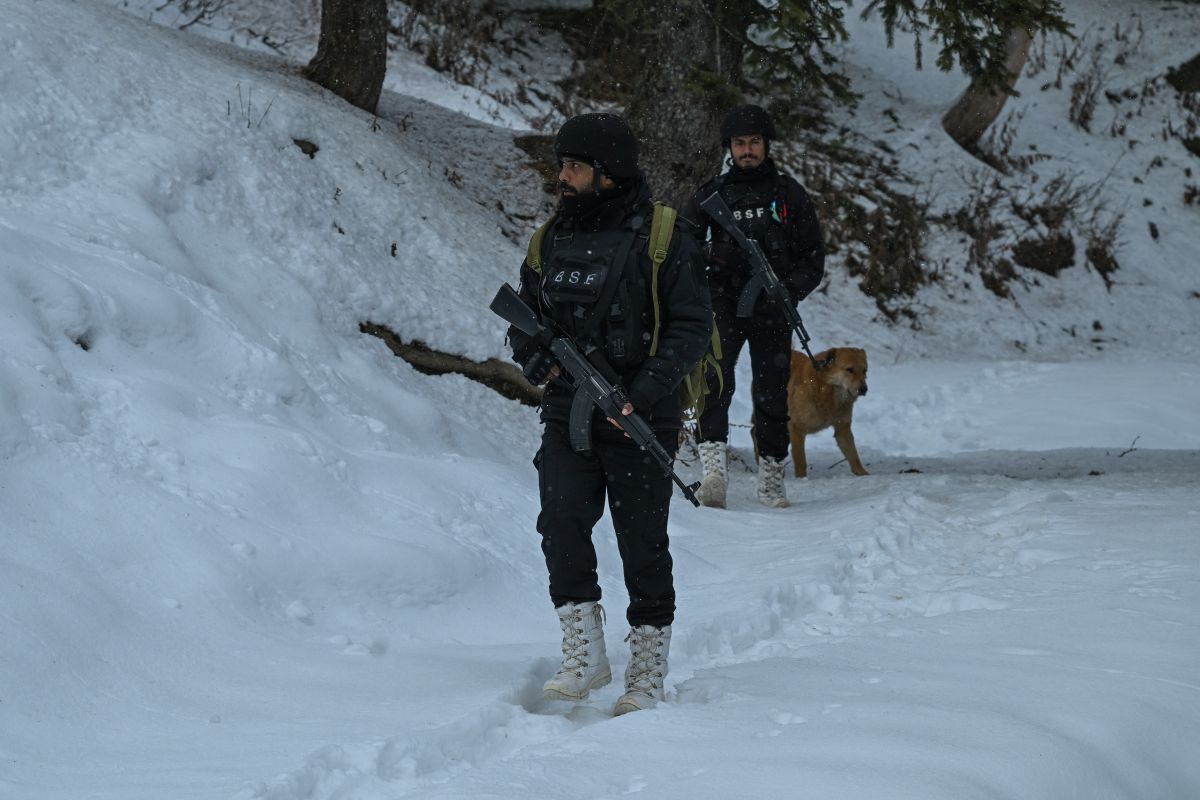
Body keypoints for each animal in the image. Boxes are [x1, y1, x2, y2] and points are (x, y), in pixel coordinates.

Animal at [787, 347, 870, 477]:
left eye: (864, 370)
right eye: (849, 370)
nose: (864, 389)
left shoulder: (842, 428)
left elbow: (853, 455)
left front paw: (862, 473)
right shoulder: (797, 428)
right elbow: (801, 461)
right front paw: (801, 479)